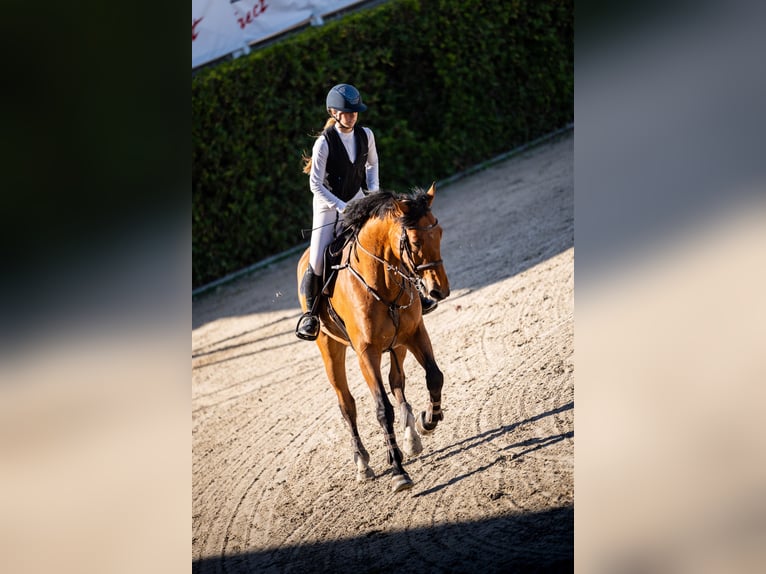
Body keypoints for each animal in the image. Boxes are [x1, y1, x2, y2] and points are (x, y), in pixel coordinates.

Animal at [294, 183, 450, 490]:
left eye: (439, 233)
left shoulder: (415, 332)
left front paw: (428, 420)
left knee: (397, 382)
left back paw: (411, 438)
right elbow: (381, 409)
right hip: (330, 350)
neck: (383, 281)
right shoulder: (367, 352)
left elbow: (434, 377)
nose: (439, 291)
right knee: (347, 404)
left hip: (398, 344)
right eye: (415, 243)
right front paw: (399, 471)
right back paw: (362, 463)